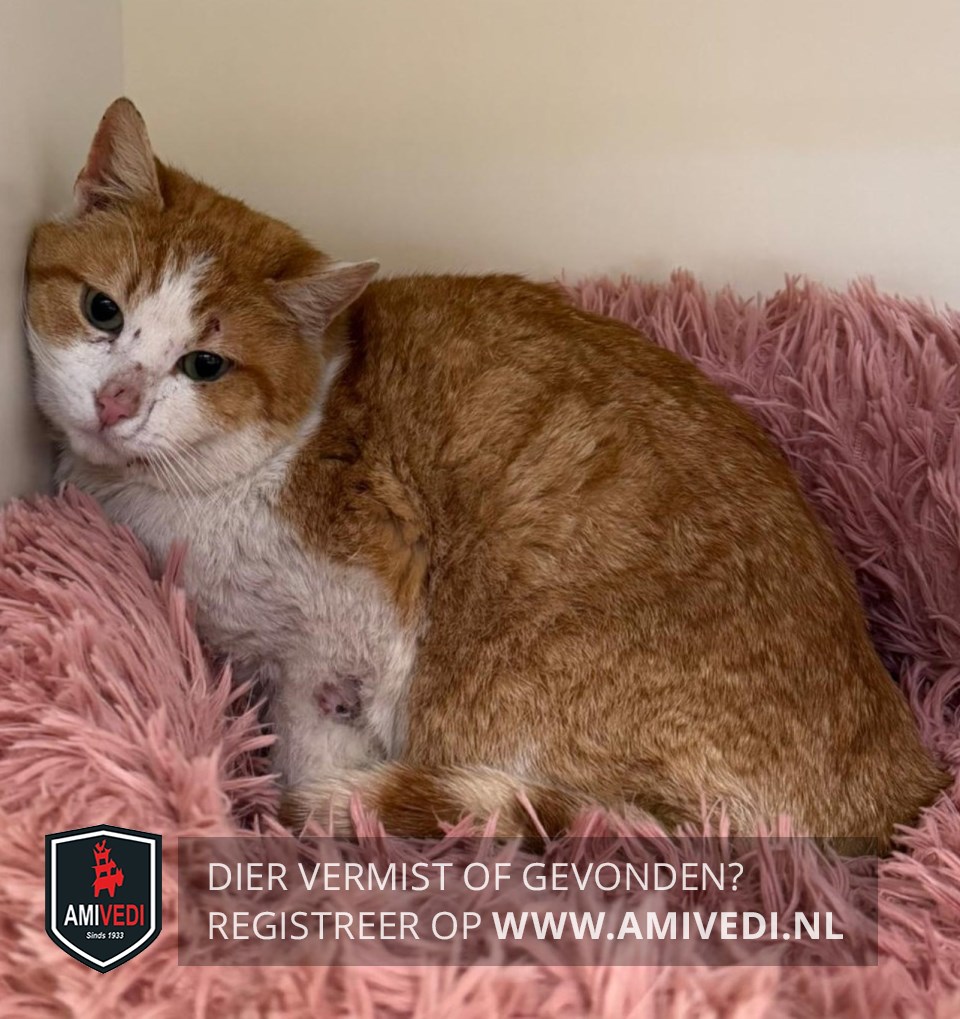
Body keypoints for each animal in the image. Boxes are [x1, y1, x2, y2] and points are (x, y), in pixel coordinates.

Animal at [25, 98, 947, 852]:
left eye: (204, 364)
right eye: (102, 310)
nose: (115, 400)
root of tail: (910, 785)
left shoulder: (345, 638)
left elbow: (311, 742)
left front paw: (303, 819)